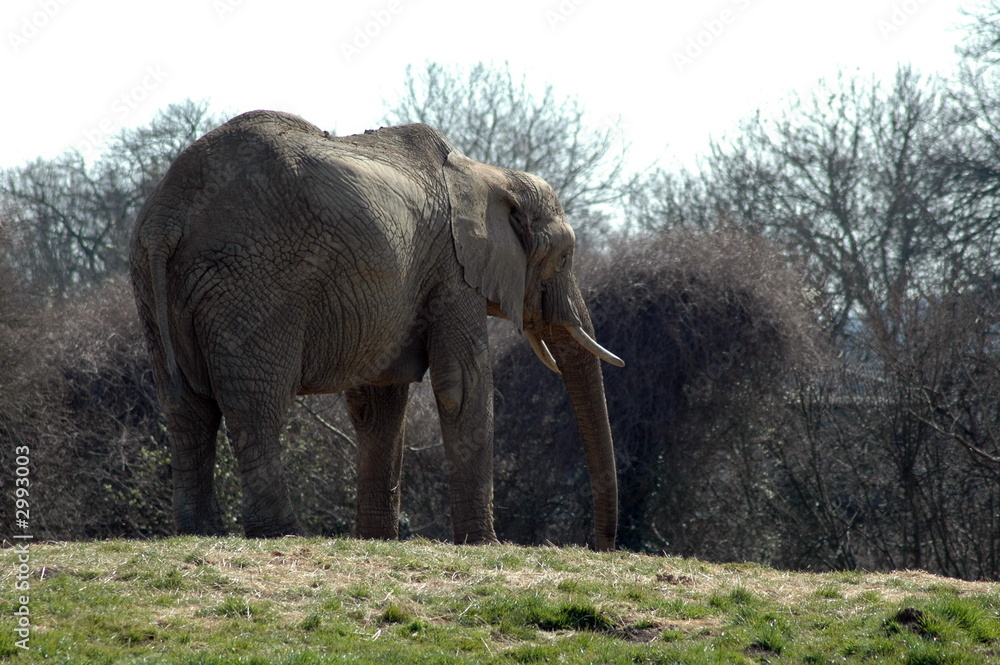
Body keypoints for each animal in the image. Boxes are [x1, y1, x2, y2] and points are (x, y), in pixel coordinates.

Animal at [129, 110, 623, 550]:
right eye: (564, 256)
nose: (601, 547)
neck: (487, 173)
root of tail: (168, 212)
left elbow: (378, 399)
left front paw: (376, 539)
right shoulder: (452, 270)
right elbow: (461, 385)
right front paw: (484, 544)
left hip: (153, 286)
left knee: (185, 407)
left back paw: (198, 532)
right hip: (253, 282)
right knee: (257, 404)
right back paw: (282, 534)